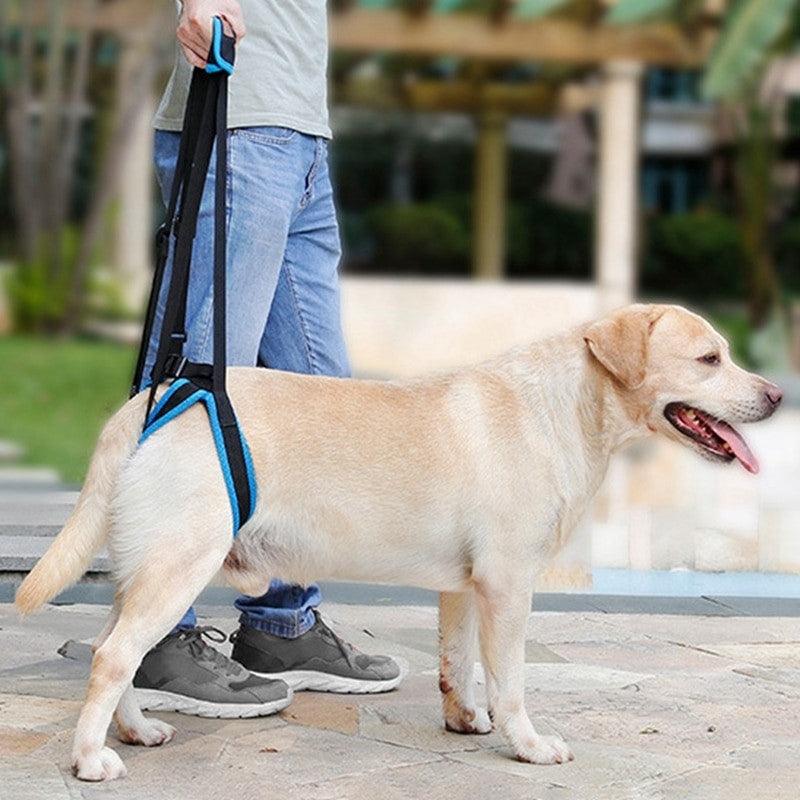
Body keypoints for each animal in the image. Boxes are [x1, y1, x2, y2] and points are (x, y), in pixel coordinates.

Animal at [15, 304, 784, 780]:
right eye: (709, 358)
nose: (778, 394)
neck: (566, 408)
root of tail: (153, 402)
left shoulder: (465, 586)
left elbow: (458, 663)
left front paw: (465, 720)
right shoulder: (508, 584)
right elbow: (510, 681)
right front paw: (528, 745)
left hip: (148, 568)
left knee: (115, 651)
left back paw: (135, 730)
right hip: (179, 563)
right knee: (113, 657)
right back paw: (90, 760)